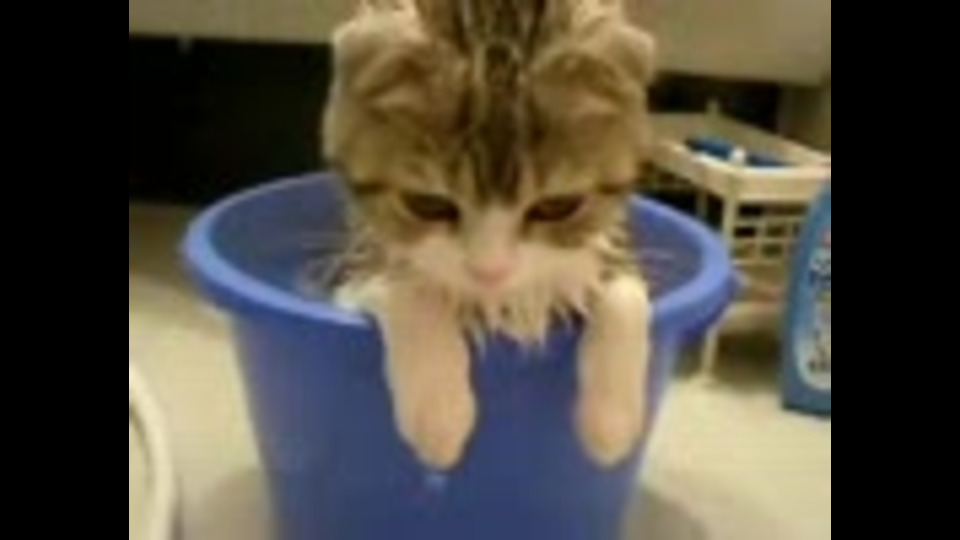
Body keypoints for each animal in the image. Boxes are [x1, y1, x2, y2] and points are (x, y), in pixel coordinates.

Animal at [323, 0, 657, 471]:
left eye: (558, 207)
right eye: (427, 205)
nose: (490, 271)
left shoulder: (604, 236)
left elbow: (622, 288)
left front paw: (612, 421)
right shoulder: (353, 257)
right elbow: (404, 282)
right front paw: (438, 412)